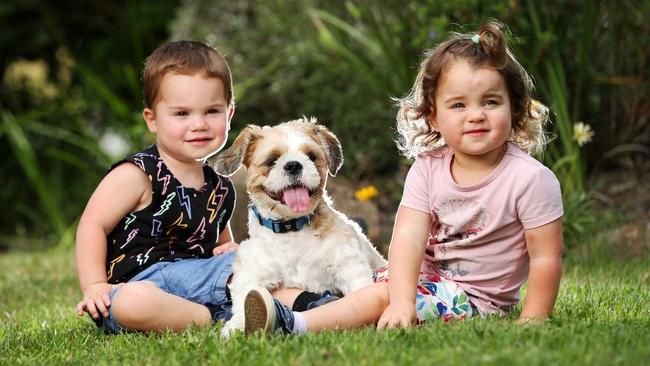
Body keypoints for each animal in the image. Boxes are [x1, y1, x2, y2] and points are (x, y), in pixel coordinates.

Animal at [213, 117, 384, 334]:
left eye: (311, 156)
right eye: (272, 160)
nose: (293, 165)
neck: (291, 228)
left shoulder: (348, 264)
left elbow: (360, 288)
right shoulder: (253, 268)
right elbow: (244, 294)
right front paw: (236, 327)